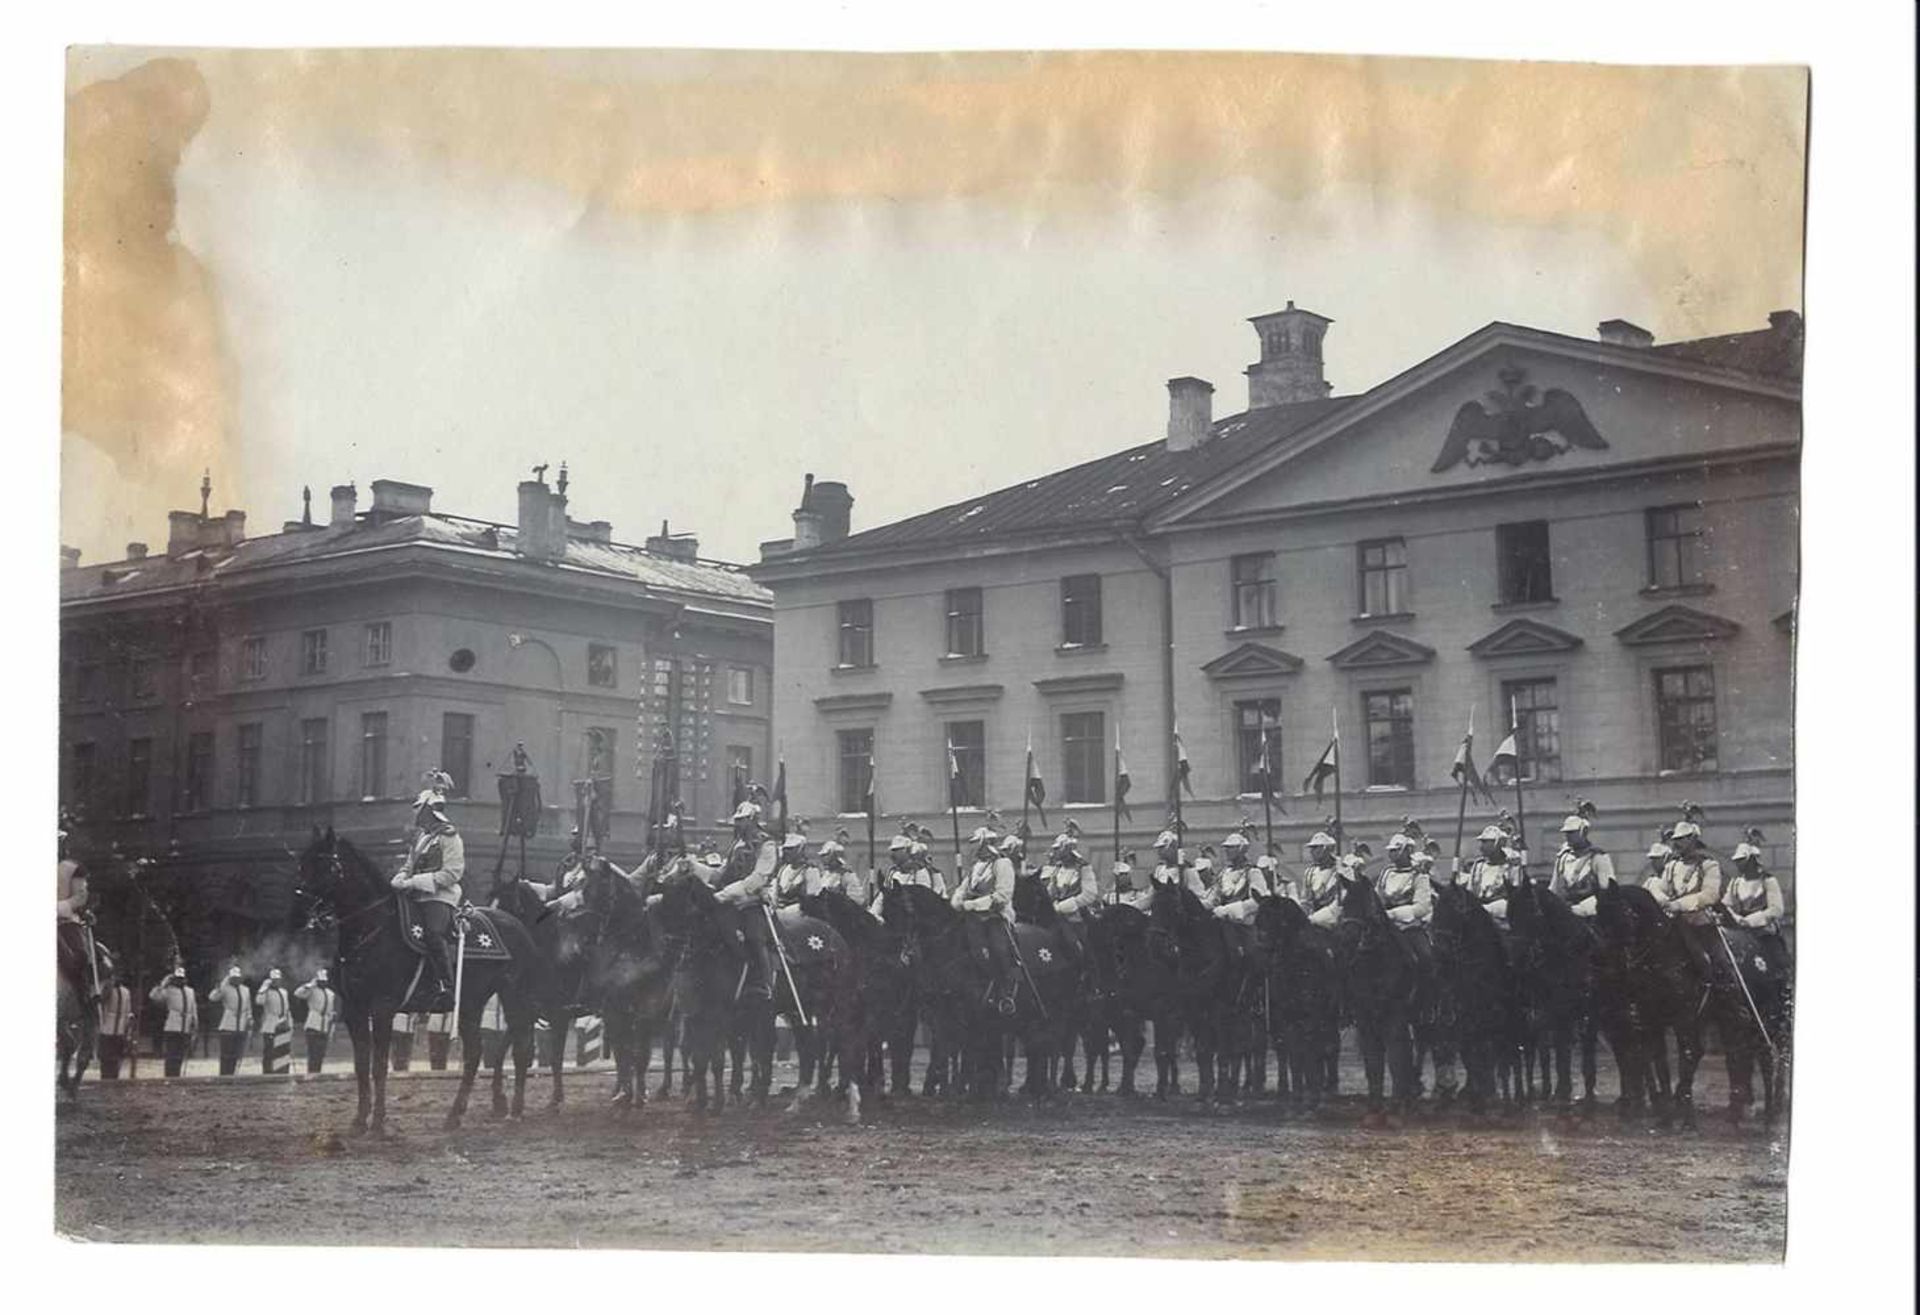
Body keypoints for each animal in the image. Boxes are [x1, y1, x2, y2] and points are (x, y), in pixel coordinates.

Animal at [295, 829, 545, 1128]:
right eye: (303, 863)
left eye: (325, 865)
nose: (302, 910)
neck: (372, 929)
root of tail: (518, 925)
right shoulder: (355, 1010)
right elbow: (361, 1065)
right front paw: (360, 1120)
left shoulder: (382, 1007)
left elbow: (379, 1065)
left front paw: (377, 1123)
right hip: (469, 1005)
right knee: (475, 1053)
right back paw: (455, 1115)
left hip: (514, 995)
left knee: (520, 1047)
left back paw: (515, 1110)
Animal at [1336, 871, 1428, 1121]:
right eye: (1344, 905)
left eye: (1364, 905)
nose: (1344, 940)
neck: (1375, 963)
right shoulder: (1365, 1018)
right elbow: (1373, 1061)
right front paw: (1374, 1107)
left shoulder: (1394, 1017)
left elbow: (1395, 1057)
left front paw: (1396, 1107)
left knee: (1419, 1048)